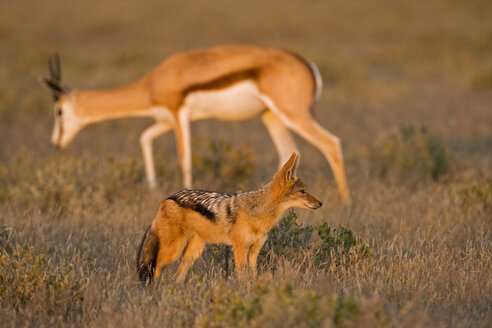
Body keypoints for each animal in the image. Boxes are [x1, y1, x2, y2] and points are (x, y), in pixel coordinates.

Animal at [43, 44, 350, 202]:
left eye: (58, 111)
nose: (55, 144)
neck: (154, 82)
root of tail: (309, 66)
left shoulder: (179, 116)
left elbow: (185, 159)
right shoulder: (165, 120)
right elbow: (144, 138)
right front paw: (152, 187)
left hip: (293, 114)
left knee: (331, 143)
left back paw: (345, 202)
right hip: (271, 117)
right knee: (287, 153)